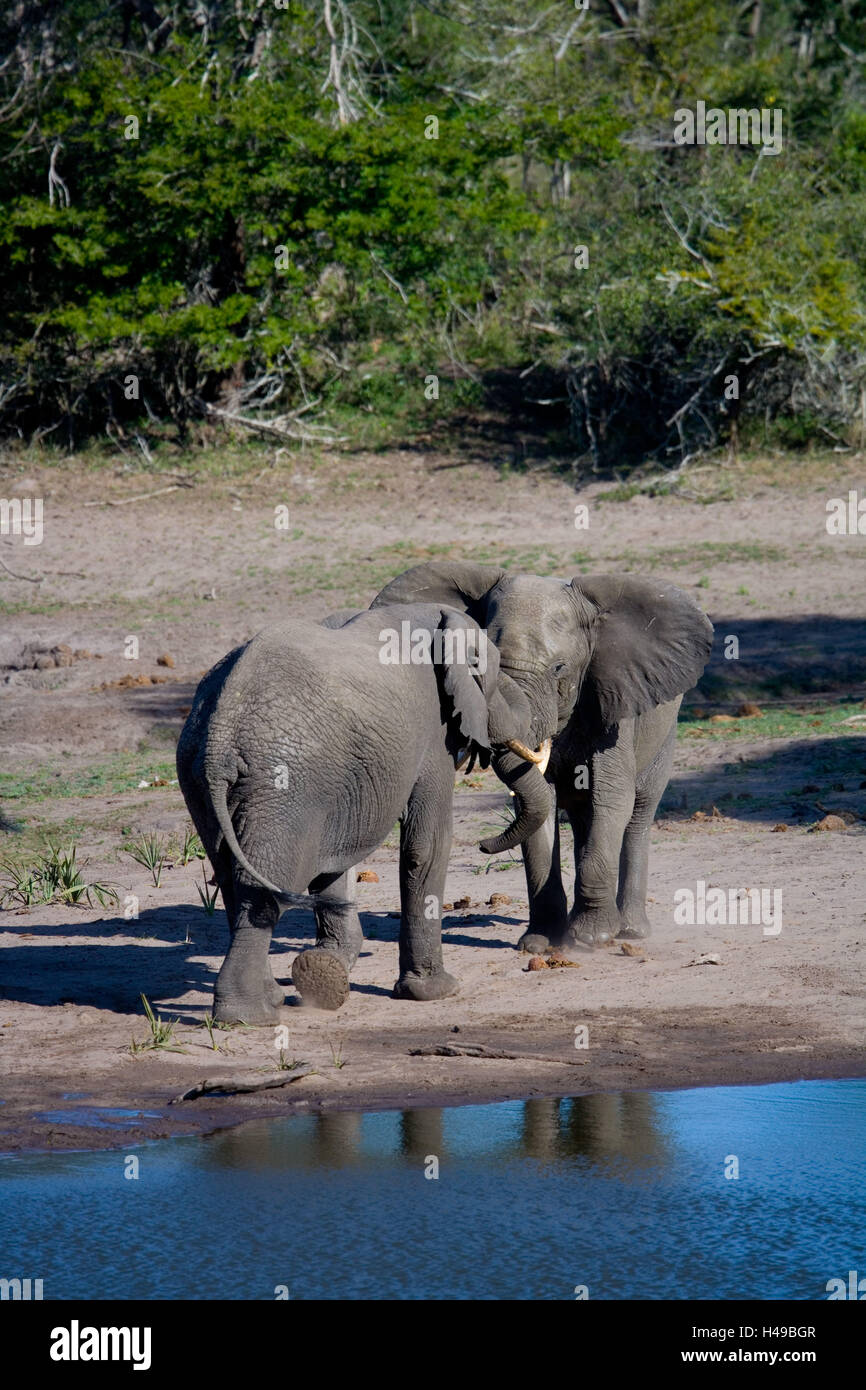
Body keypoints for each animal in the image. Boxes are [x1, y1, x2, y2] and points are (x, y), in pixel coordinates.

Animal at [177, 603, 553, 1028]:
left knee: (234, 880)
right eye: (489, 676)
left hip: (204, 779)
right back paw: (249, 1016)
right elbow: (428, 846)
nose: (485, 845)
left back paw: (271, 999)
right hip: (282, 783)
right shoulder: (432, 731)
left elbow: (336, 862)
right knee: (263, 884)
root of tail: (219, 737)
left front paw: (327, 970)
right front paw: (435, 993)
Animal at [369, 558, 717, 950]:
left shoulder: (612, 707)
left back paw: (629, 931)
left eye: (559, 668)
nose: (482, 845)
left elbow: (611, 797)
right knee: (583, 817)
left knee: (639, 812)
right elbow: (540, 805)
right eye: (479, 660)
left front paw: (591, 938)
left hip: (665, 732)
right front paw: (539, 943)